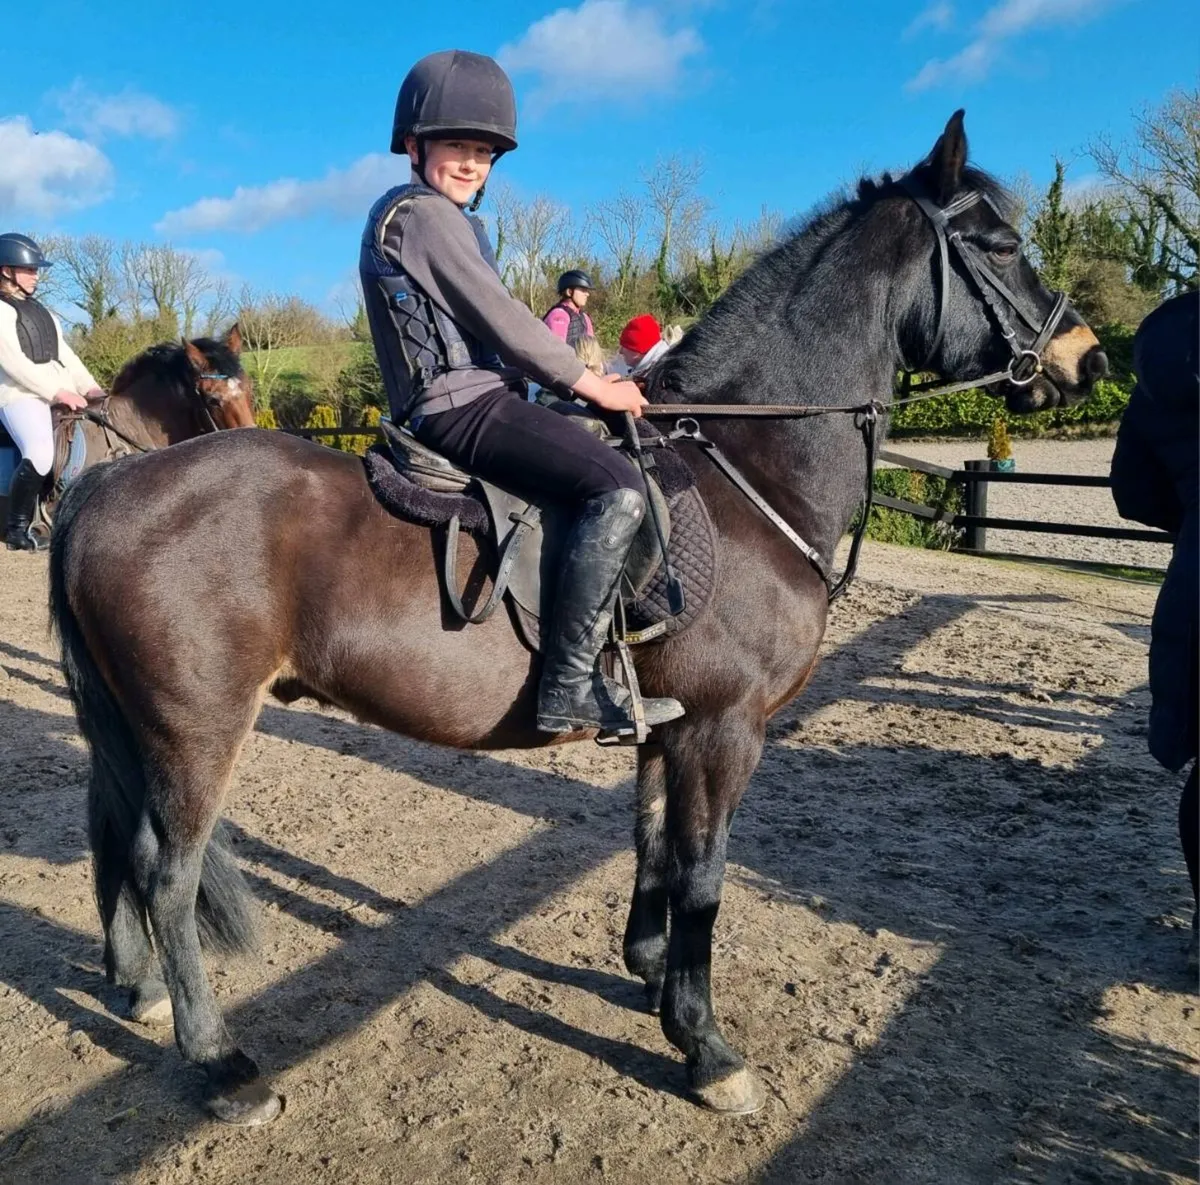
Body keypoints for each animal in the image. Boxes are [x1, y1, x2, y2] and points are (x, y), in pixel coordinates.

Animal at [48, 112, 1107, 1126]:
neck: (747, 470)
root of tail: (110, 483)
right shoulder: (725, 729)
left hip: (140, 725)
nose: (1088, 357)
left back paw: (136, 986)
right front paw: (705, 1044)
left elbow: (653, 845)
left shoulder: (670, 724)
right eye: (1003, 243)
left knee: (118, 839)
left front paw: (650, 973)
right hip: (196, 726)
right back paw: (220, 1064)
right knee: (168, 874)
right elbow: (704, 876)